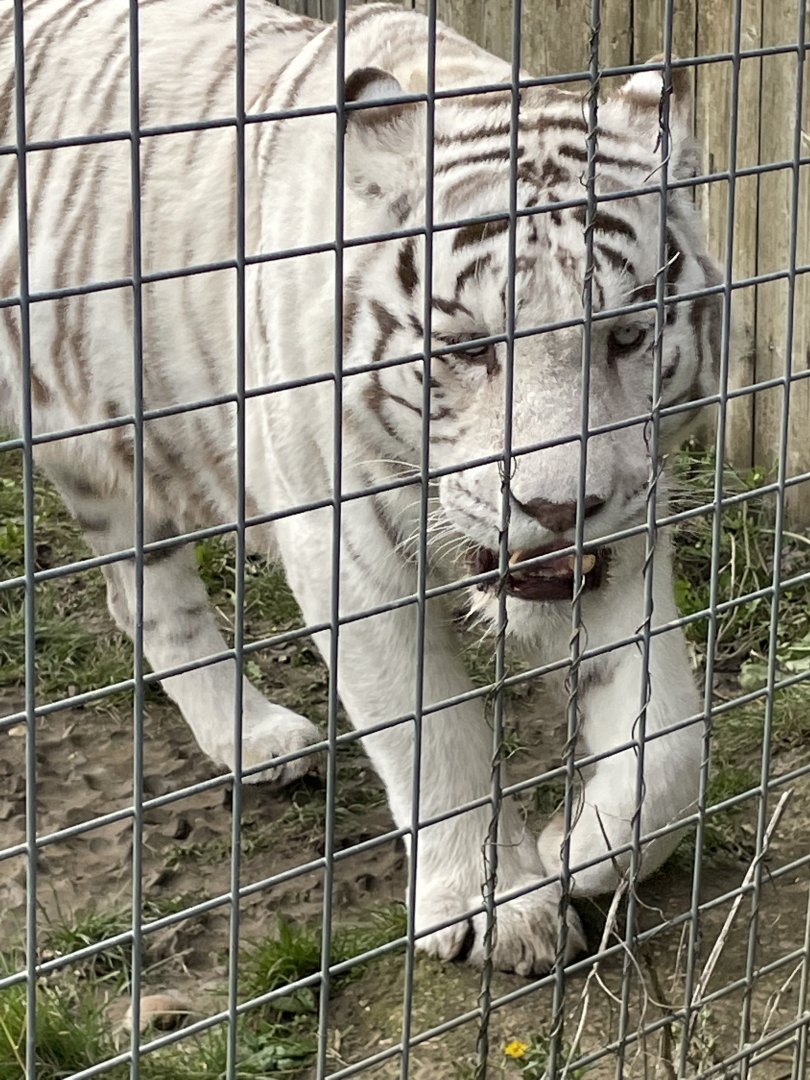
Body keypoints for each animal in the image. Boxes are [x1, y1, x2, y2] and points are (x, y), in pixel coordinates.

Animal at [0, 0, 721, 975]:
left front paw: (583, 847)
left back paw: (252, 739)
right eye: (467, 349)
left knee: (141, 598)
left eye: (627, 336)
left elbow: (672, 738)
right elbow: (433, 730)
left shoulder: (628, 529)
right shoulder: (344, 550)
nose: (557, 509)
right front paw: (501, 906)